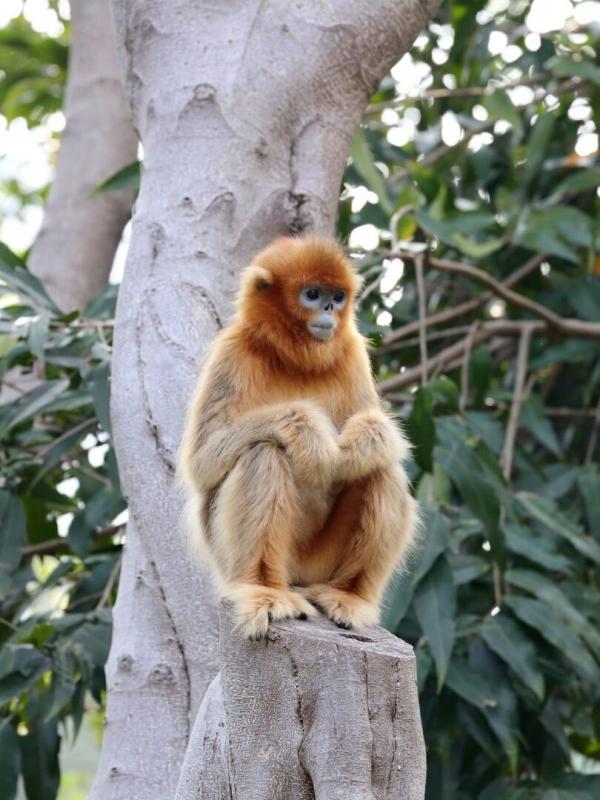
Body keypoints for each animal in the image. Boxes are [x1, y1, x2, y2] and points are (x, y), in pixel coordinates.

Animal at [177, 236, 417, 640]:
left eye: (338, 296)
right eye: (313, 294)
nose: (330, 309)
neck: (294, 358)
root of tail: (297, 577)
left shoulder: (352, 352)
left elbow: (379, 435)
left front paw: (358, 445)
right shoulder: (232, 350)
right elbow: (203, 462)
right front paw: (310, 435)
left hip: (320, 562)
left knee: (383, 470)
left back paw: (348, 596)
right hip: (243, 558)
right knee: (263, 452)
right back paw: (264, 590)